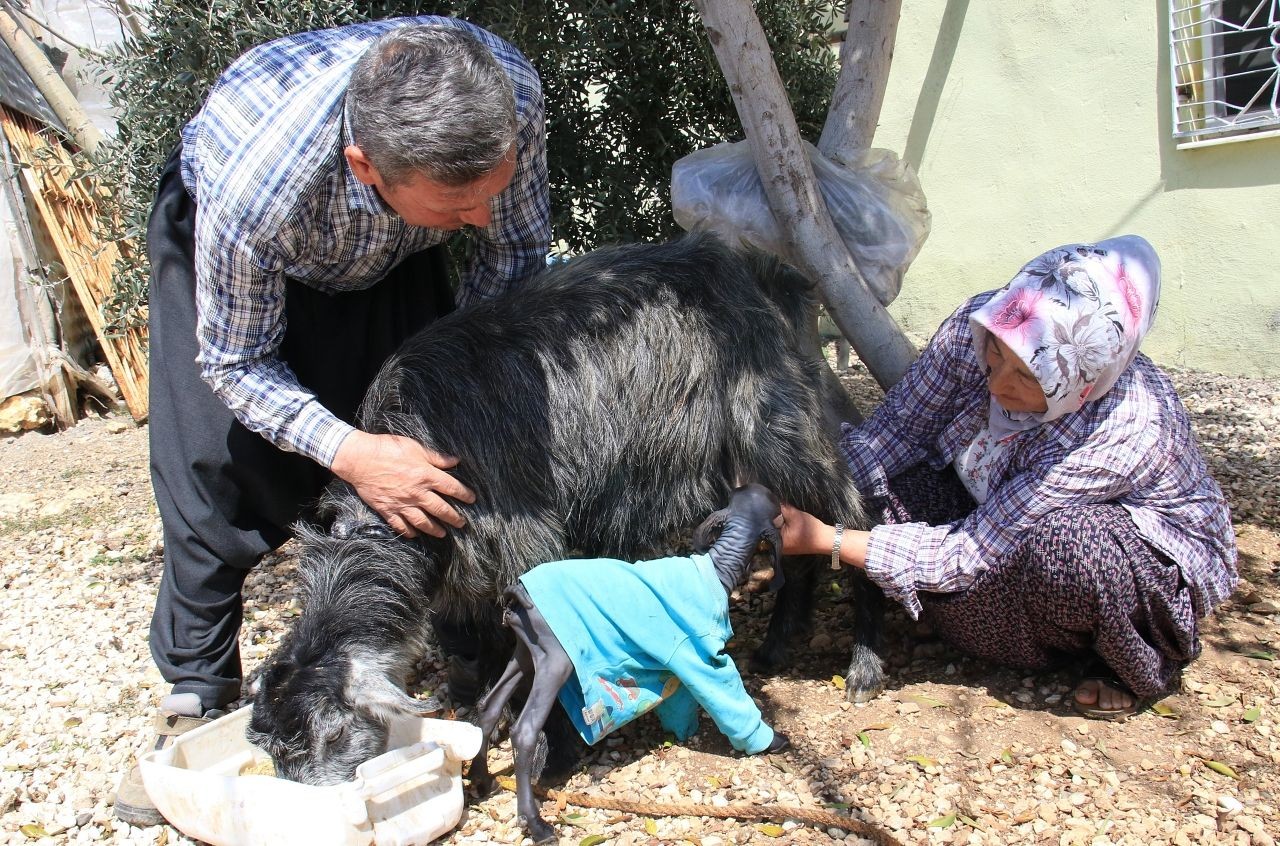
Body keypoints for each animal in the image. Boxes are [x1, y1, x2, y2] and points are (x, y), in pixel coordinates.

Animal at [245, 232, 885, 783]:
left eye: (328, 734)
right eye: (273, 751)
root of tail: (762, 268)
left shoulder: (521, 537)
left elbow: (539, 648)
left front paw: (549, 747)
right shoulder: (468, 565)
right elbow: (482, 640)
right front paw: (480, 710)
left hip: (779, 420)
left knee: (855, 518)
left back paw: (864, 666)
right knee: (795, 536)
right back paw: (779, 644)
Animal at [471, 483, 788, 839]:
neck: (717, 566)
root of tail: (516, 590)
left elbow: (678, 700)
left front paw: (683, 731)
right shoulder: (697, 651)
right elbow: (727, 694)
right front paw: (771, 741)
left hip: (527, 650)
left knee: (489, 707)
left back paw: (482, 781)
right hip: (556, 657)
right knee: (524, 730)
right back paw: (535, 823)